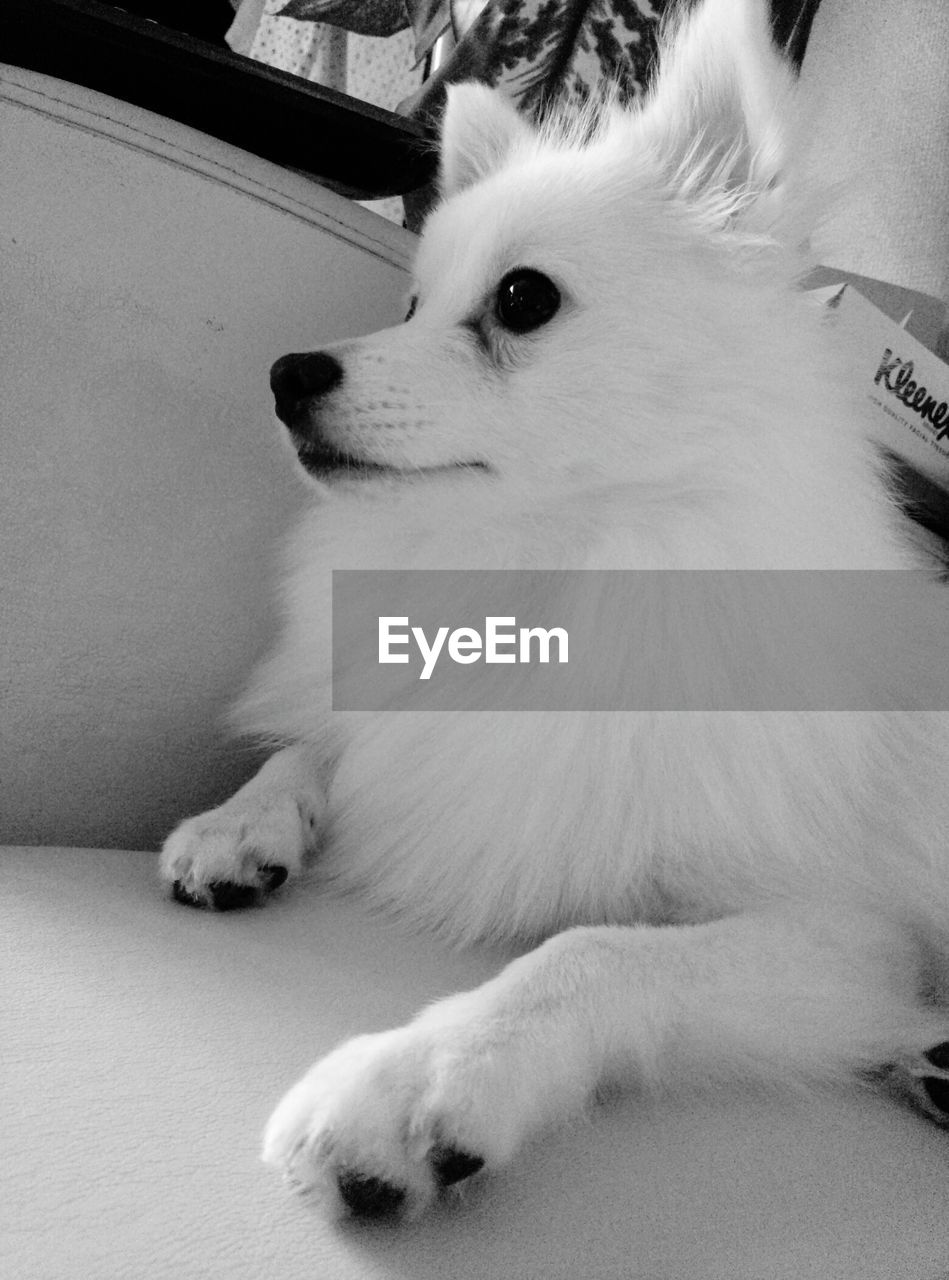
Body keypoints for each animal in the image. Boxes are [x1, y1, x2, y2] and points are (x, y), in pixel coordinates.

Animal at [159, 0, 947, 1223]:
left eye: (522, 299)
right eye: (408, 306)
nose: (288, 372)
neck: (539, 565)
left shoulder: (849, 939)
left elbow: (593, 949)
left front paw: (419, 1075)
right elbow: (321, 749)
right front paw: (243, 822)